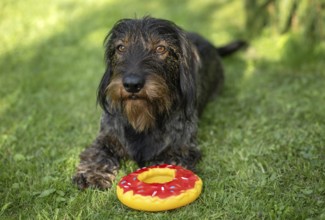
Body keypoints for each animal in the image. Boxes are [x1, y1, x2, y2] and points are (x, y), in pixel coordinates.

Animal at [73, 16, 246, 190]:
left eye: (161, 48)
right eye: (121, 47)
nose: (132, 84)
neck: (143, 118)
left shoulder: (180, 150)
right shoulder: (106, 138)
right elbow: (97, 154)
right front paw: (91, 175)